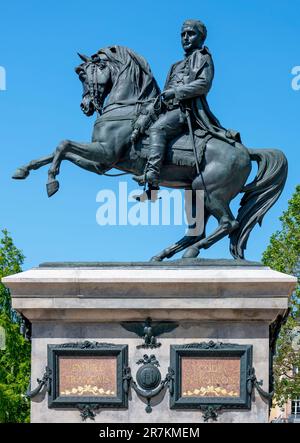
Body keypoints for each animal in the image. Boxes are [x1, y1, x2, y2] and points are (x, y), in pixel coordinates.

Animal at [12, 46, 288, 260]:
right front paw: (23, 170)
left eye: (84, 73)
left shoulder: (104, 155)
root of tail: (246, 151)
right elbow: (56, 150)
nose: (85, 106)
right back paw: (163, 255)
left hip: (209, 190)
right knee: (197, 230)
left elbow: (63, 145)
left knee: (229, 223)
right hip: (192, 193)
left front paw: (51, 182)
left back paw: (188, 253)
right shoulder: (101, 164)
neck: (124, 107)